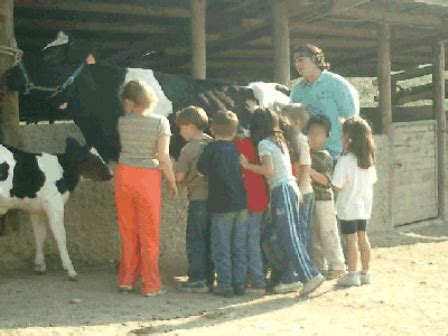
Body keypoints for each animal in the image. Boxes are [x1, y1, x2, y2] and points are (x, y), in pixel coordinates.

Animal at [0, 138, 112, 280]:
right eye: (91, 158)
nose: (111, 174)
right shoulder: (55, 205)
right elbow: (61, 235)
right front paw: (70, 270)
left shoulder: (36, 210)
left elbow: (40, 235)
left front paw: (40, 265)